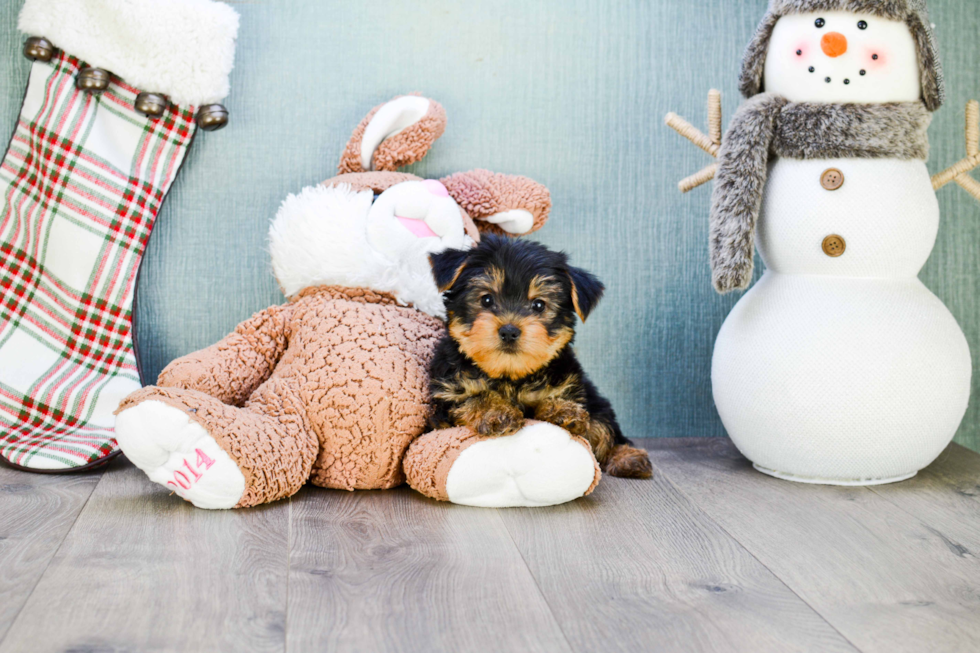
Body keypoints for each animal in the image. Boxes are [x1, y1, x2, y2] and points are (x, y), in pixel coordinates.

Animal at [428, 234, 652, 478]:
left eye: (538, 305)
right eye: (486, 300)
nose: (509, 330)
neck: (510, 375)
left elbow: (587, 419)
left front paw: (563, 410)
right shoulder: (445, 398)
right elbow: (474, 397)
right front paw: (496, 411)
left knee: (605, 427)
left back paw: (628, 458)